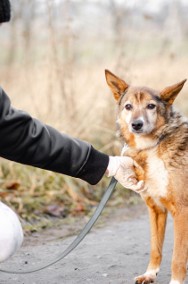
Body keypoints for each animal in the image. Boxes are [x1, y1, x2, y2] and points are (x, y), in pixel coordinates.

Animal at [105, 69, 187, 284]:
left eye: (151, 106)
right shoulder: (156, 209)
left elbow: (178, 256)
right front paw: (150, 273)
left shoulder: (182, 210)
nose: (136, 124)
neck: (152, 147)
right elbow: (155, 248)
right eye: (128, 106)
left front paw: (176, 281)